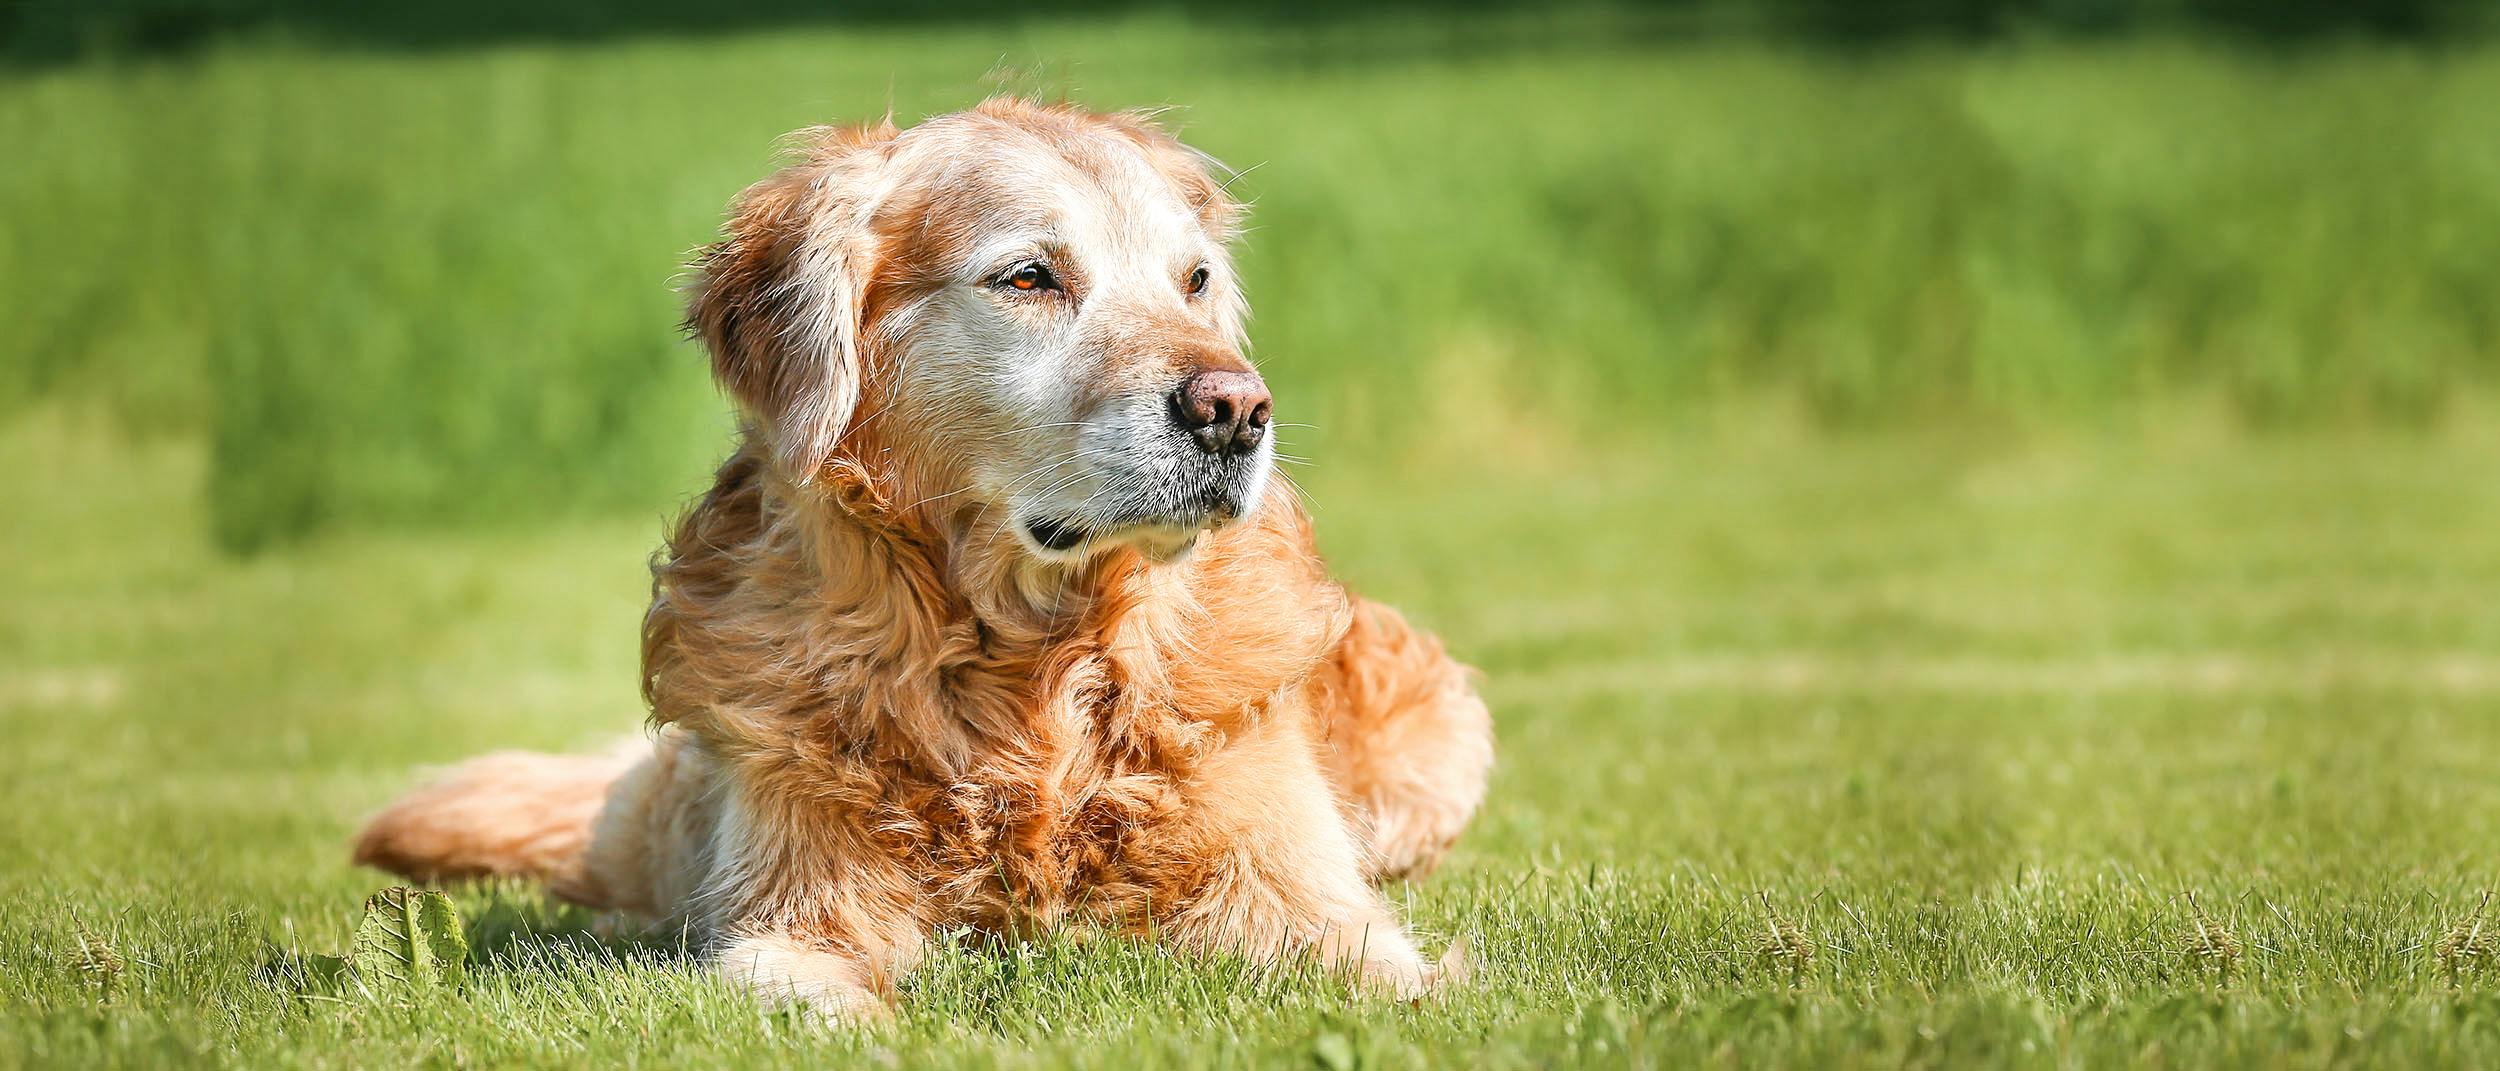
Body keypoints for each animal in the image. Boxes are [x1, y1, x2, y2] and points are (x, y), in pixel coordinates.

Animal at [350, 98, 1480, 1020]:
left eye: (1194, 281)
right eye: (1028, 276)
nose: (1236, 409)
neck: (1026, 665)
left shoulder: (1296, 884)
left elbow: (1390, 972)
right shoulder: (791, 906)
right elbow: (798, 988)